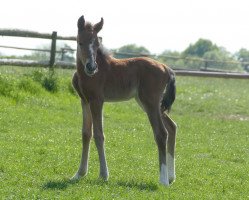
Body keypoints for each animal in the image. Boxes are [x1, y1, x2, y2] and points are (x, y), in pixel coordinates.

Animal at [71, 15, 177, 186]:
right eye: (80, 42)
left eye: (97, 43)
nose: (91, 67)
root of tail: (166, 68)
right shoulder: (84, 100)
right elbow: (86, 133)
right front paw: (79, 174)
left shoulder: (97, 101)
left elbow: (99, 135)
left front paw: (104, 175)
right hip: (149, 103)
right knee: (172, 127)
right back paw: (171, 177)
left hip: (150, 102)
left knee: (161, 133)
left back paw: (163, 180)